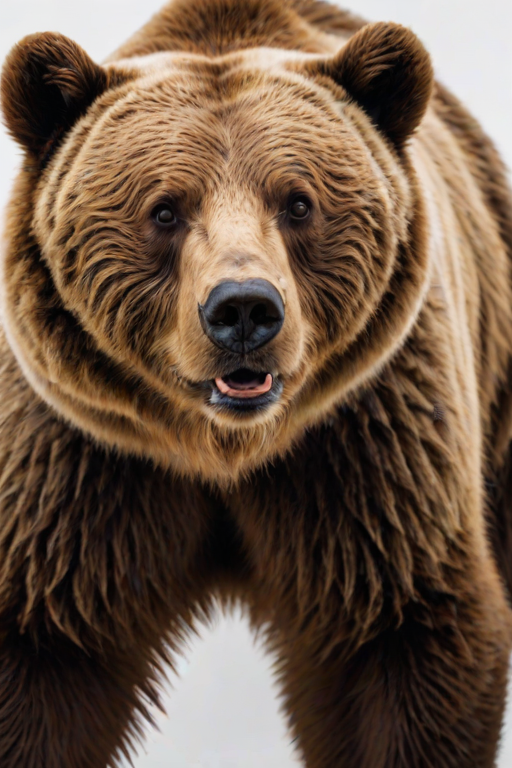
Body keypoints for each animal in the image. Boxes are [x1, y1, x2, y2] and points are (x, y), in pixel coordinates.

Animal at [1, 0, 512, 765]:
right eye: (164, 208)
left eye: (298, 202)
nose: (243, 309)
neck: (224, 449)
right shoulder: (82, 462)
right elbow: (42, 648)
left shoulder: (367, 445)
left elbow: (405, 633)